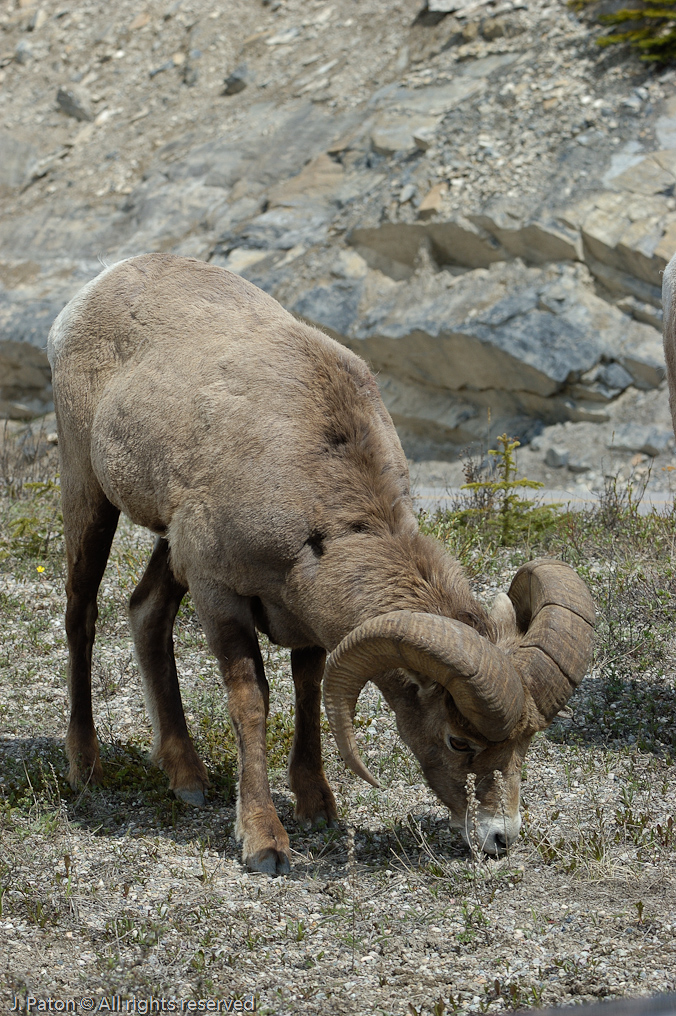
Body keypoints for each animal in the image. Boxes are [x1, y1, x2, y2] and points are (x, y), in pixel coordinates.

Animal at [48, 251, 589, 873]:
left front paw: (317, 807)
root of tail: (101, 283)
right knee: (82, 613)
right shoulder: (218, 593)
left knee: (147, 613)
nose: (499, 839)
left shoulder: (301, 612)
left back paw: (186, 778)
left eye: (526, 742)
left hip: (169, 542)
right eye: (458, 739)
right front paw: (265, 843)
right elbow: (252, 701)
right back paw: (85, 768)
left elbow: (307, 689)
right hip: (88, 490)